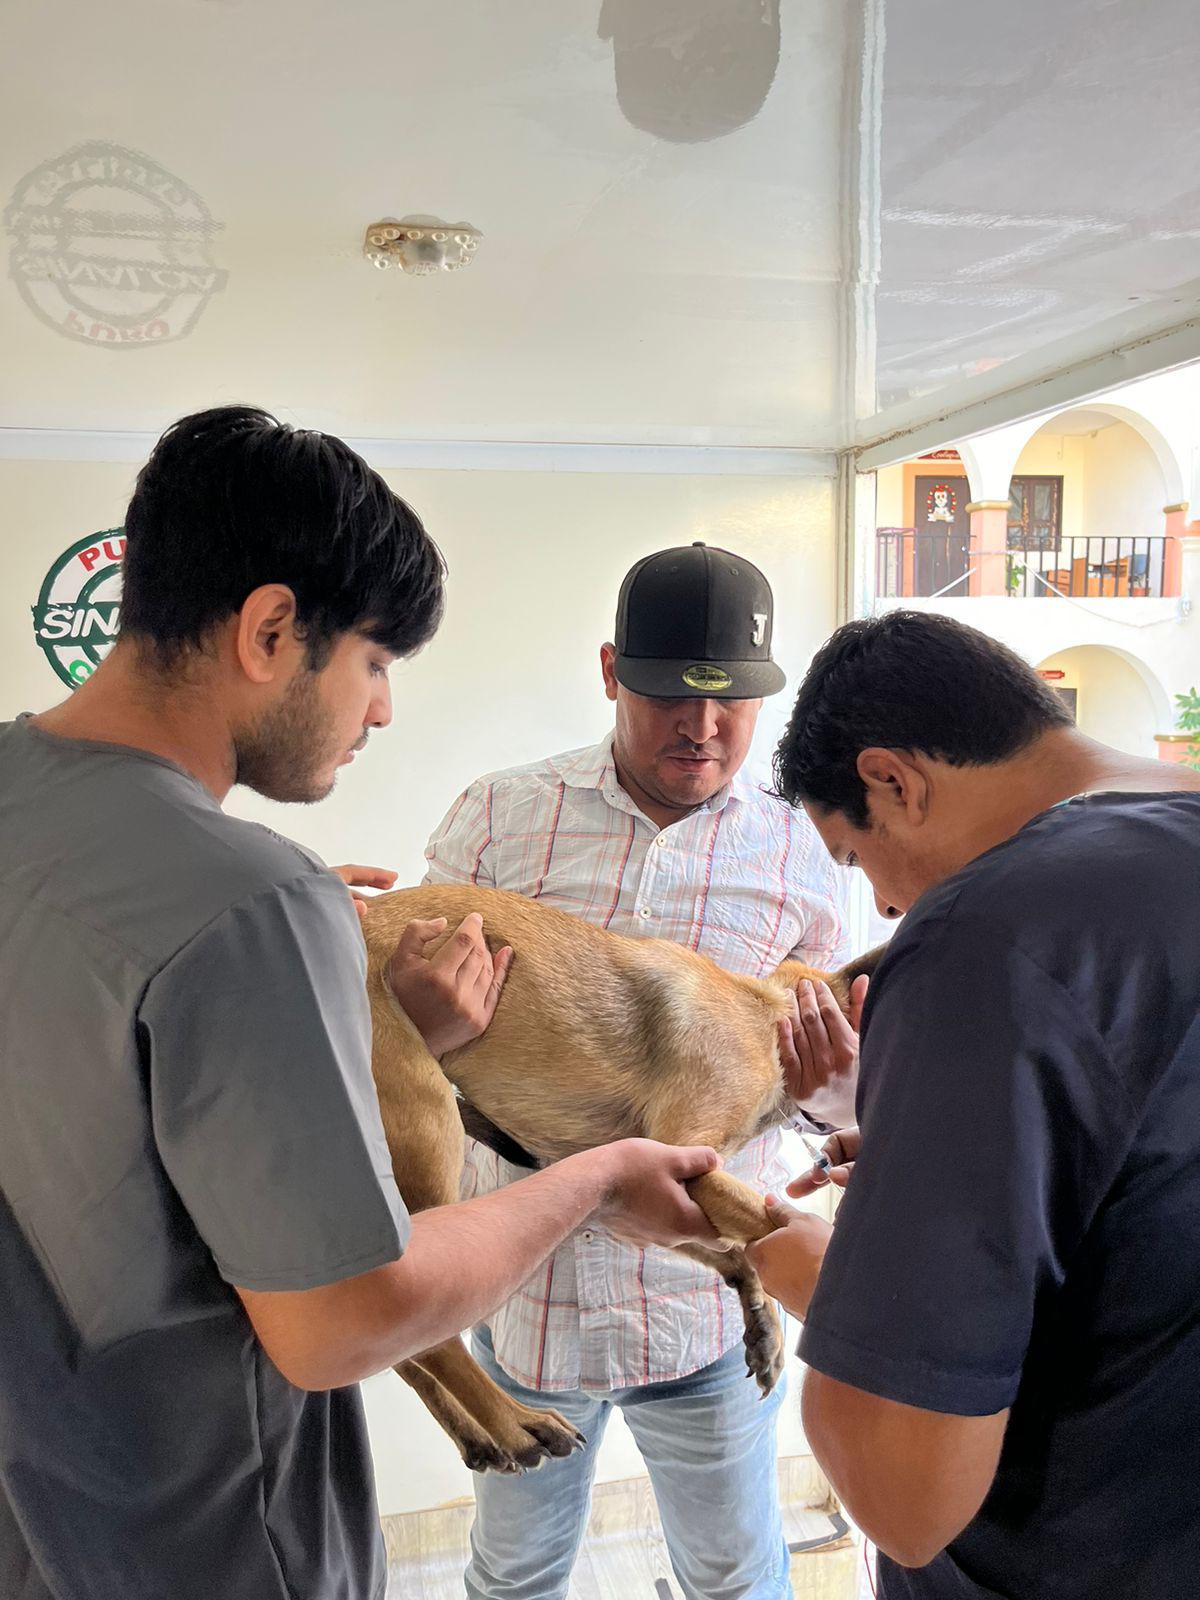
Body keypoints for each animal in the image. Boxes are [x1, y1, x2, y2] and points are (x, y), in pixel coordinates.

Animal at [361, 889, 876, 1472]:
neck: (772, 1015)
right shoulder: (689, 1161)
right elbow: (769, 1232)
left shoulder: (646, 1199)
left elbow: (735, 1253)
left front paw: (762, 1323)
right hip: (428, 1121)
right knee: (427, 1337)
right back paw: (516, 1424)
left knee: (403, 1353)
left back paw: (476, 1437)